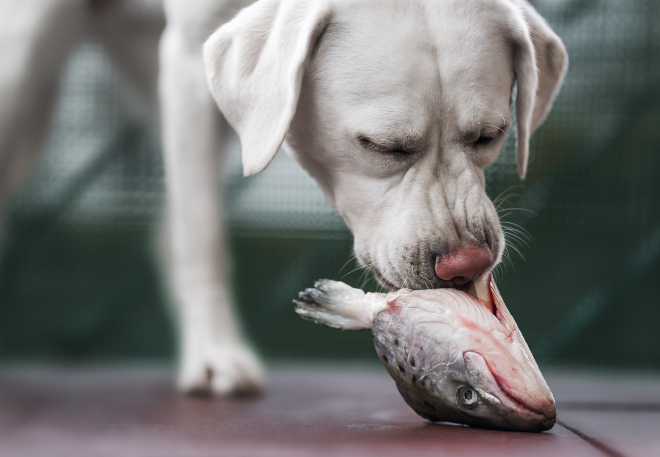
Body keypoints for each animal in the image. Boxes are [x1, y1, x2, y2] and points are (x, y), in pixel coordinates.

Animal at [0, 0, 568, 394]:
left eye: (490, 136)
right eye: (382, 146)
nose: (466, 264)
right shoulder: (187, 58)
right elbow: (202, 236)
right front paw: (216, 355)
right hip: (21, 74)